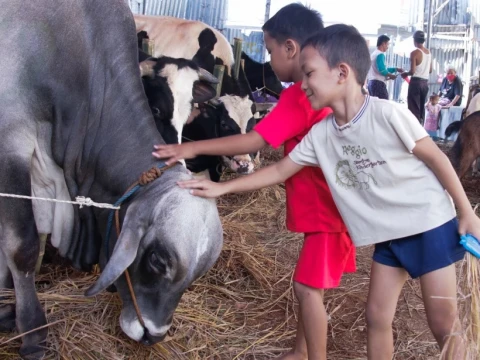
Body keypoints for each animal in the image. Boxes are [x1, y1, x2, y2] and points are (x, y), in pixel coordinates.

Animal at [0, 1, 223, 358]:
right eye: (156, 260)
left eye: (198, 274)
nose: (153, 335)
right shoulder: (10, 141)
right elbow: (21, 245)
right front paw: (32, 331)